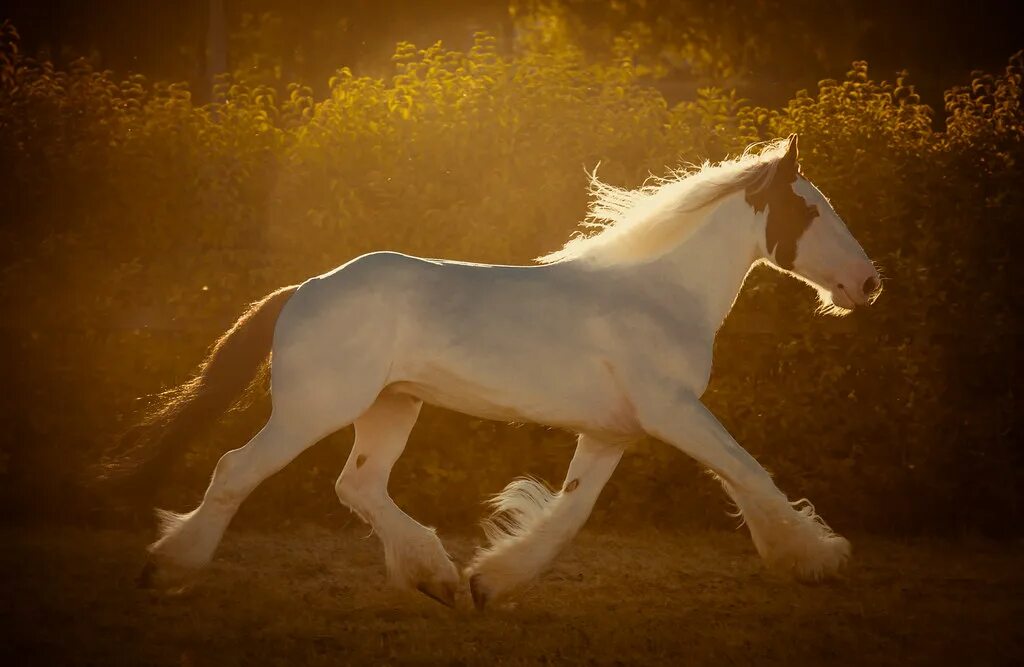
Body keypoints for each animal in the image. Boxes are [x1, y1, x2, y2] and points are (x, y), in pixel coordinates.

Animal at [114, 135, 880, 610]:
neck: (661, 293)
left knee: (357, 485)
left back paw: (436, 579)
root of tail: (303, 289)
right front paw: (818, 558)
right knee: (235, 471)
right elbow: (748, 472)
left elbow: (568, 515)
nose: (869, 283)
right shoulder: (674, 411)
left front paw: (491, 582)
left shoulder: (613, 431)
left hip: (392, 407)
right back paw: (165, 567)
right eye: (810, 209)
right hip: (314, 409)